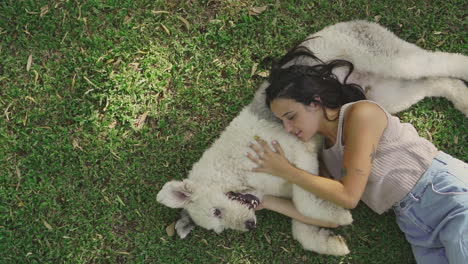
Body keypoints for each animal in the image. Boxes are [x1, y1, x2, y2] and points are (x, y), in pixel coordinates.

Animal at [157, 20, 468, 256]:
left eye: (217, 212)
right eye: (219, 224)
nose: (249, 225)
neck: (233, 169)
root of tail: (350, 22)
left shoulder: (300, 154)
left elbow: (306, 202)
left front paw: (340, 217)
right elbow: (301, 222)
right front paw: (330, 242)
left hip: (393, 60)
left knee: (442, 61)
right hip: (387, 95)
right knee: (436, 83)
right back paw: (462, 99)